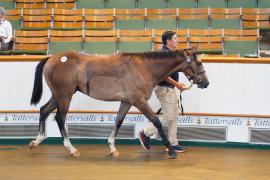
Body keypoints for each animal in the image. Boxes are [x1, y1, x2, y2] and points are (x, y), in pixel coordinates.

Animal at [29, 46, 209, 159]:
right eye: (199, 62)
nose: (206, 83)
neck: (143, 68)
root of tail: (52, 58)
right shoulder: (139, 101)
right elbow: (157, 122)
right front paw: (171, 150)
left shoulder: (126, 102)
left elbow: (118, 122)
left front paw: (112, 148)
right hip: (64, 96)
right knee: (60, 117)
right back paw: (71, 149)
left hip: (58, 96)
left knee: (44, 110)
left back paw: (36, 141)